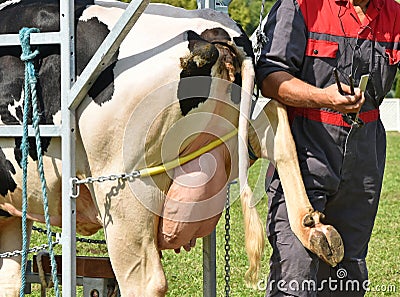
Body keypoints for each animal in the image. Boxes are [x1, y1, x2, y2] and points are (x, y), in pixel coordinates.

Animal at [0, 0, 344, 294]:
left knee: (145, 281)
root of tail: (212, 30)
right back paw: (315, 230)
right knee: (276, 122)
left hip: (125, 185)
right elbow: (11, 279)